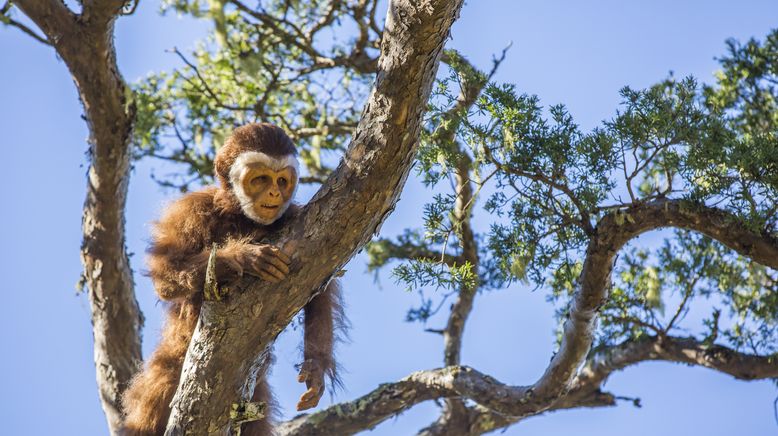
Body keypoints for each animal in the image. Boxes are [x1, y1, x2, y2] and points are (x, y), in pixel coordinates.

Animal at [121, 122, 346, 436]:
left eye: (282, 180)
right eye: (260, 179)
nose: (274, 194)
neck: (242, 217)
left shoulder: (294, 214)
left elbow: (320, 283)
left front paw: (316, 369)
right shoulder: (190, 209)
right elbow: (166, 273)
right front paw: (245, 256)